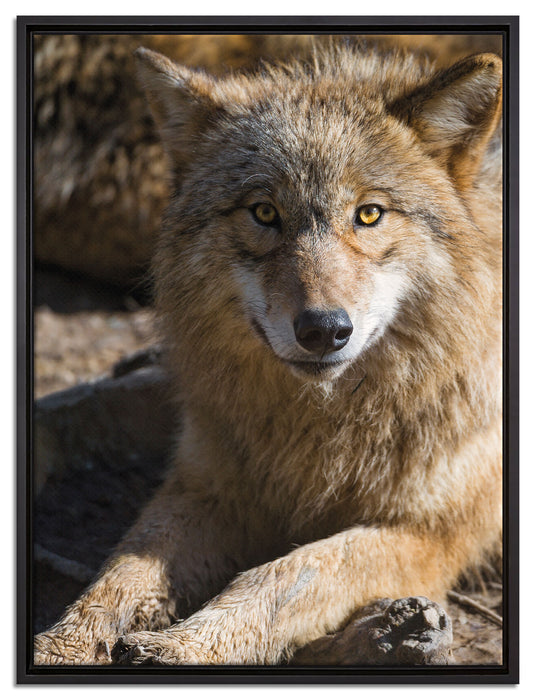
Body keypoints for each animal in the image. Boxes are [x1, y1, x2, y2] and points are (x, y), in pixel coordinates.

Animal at [34, 39, 503, 665]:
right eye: (263, 212)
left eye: (369, 213)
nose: (324, 330)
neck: (320, 431)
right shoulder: (209, 480)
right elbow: (122, 567)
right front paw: (65, 646)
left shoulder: (430, 534)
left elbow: (287, 574)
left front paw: (182, 648)